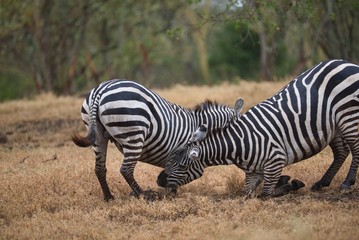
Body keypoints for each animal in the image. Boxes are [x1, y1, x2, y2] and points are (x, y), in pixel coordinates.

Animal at [71, 79, 238, 201]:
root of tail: (101, 89)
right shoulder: (181, 153)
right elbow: (174, 173)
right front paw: (171, 193)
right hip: (134, 134)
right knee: (126, 170)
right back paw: (144, 195)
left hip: (97, 135)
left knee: (99, 168)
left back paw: (109, 197)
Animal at [165, 59, 359, 197]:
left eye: (182, 166)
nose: (162, 182)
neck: (239, 144)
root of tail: (346, 63)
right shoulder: (253, 173)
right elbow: (247, 193)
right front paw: (288, 182)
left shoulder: (275, 161)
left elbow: (266, 194)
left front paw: (292, 183)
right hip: (334, 124)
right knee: (341, 152)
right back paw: (321, 183)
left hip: (348, 115)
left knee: (355, 149)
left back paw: (347, 183)